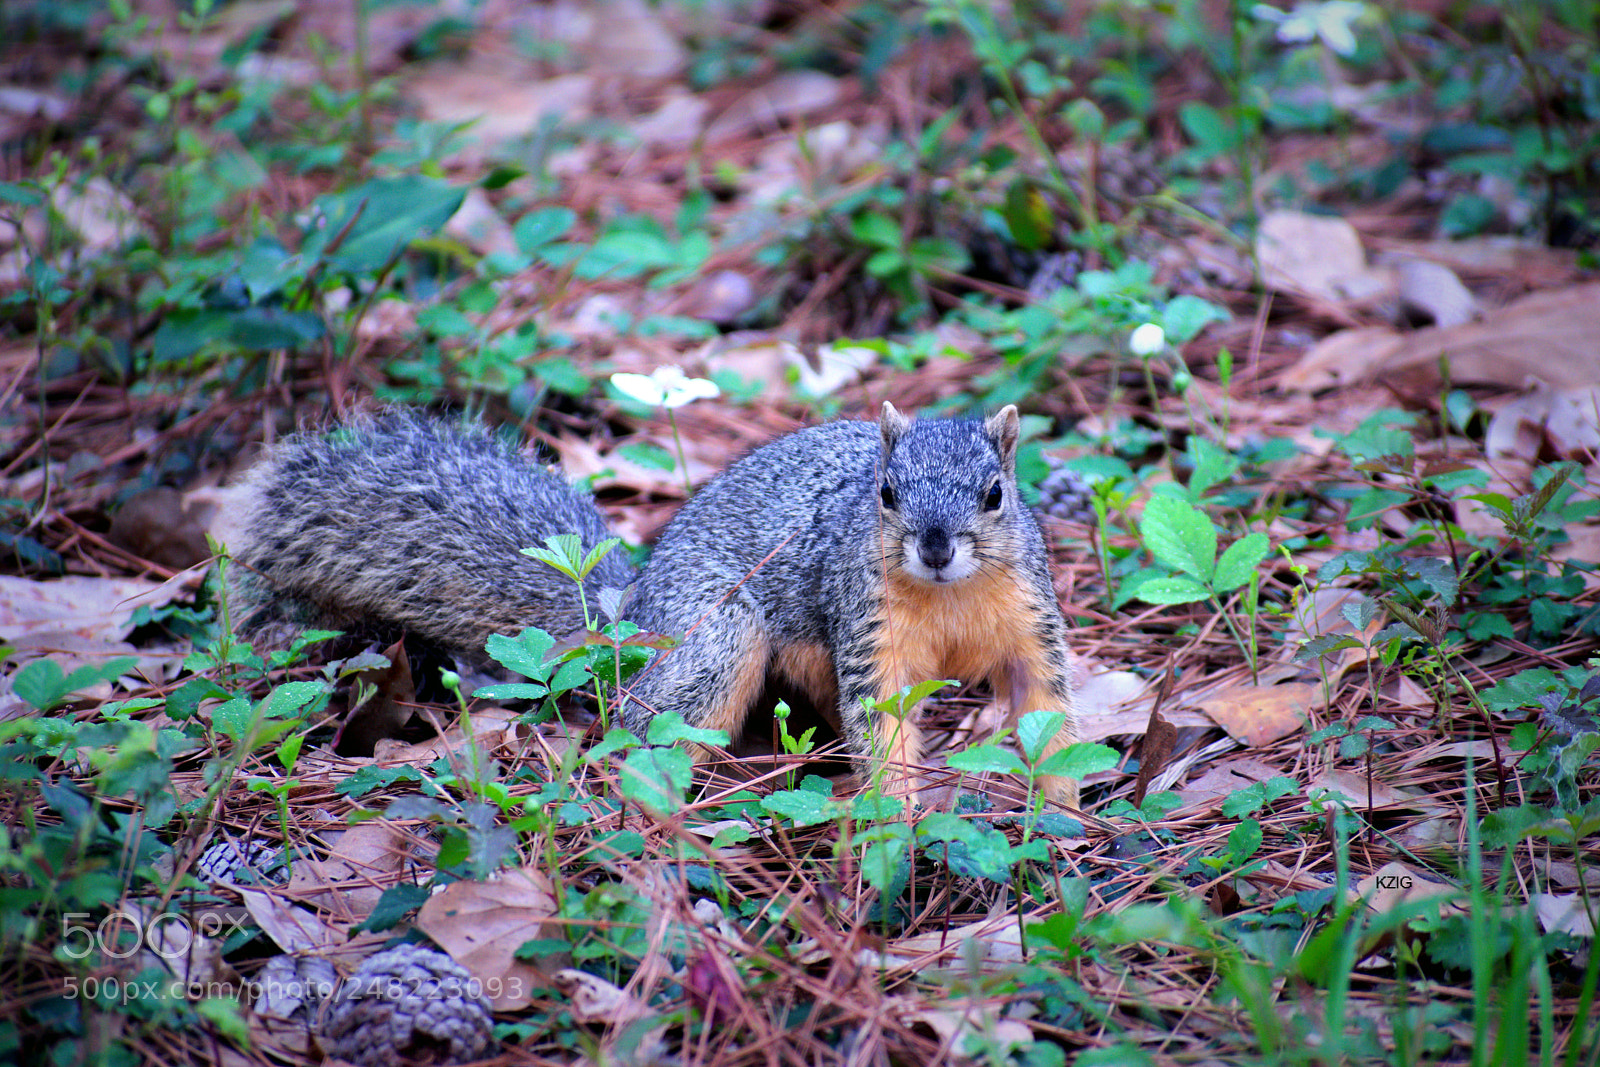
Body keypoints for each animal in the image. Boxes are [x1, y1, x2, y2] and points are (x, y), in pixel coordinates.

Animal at [230, 404, 1082, 807]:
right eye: (886, 494)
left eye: (996, 494)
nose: (935, 547)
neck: (950, 595)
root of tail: (636, 612)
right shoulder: (871, 636)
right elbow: (883, 727)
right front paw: (896, 818)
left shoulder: (1030, 625)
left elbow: (1047, 709)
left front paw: (1066, 809)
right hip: (719, 635)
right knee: (646, 728)